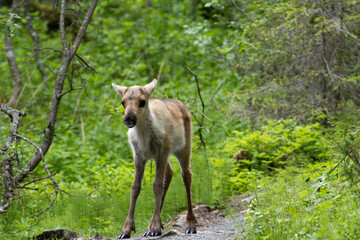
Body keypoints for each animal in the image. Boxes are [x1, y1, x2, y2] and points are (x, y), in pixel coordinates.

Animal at [112, 79, 197, 238]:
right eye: (122, 102)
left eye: (142, 101)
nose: (129, 119)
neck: (144, 139)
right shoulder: (138, 155)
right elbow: (135, 187)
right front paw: (126, 229)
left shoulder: (161, 151)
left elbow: (157, 185)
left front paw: (155, 227)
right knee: (170, 172)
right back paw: (151, 225)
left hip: (183, 147)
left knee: (186, 175)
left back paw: (190, 224)